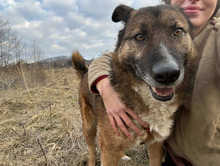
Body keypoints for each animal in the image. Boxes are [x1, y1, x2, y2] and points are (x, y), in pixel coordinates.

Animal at [72, 3, 198, 166]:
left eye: (177, 32)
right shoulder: (108, 150)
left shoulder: (156, 144)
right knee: (92, 149)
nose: (168, 74)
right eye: (139, 36)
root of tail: (86, 73)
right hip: (88, 126)